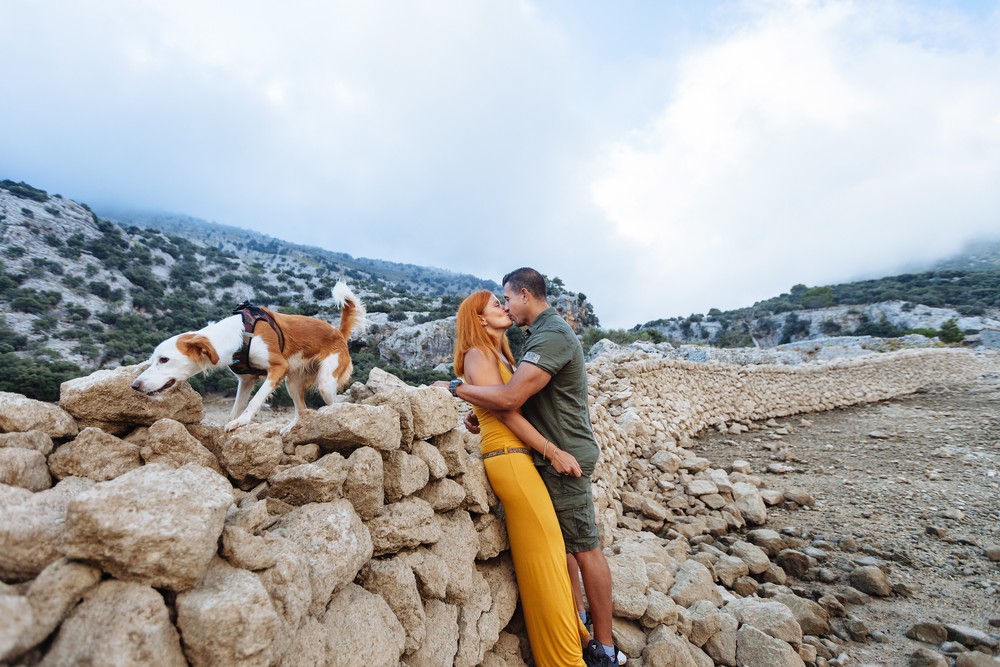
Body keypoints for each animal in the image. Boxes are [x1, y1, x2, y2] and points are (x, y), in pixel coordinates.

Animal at [131, 282, 366, 434]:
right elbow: (235, 408)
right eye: (153, 359)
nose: (135, 385)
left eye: (164, 359)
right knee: (302, 409)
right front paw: (231, 423)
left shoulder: (278, 367)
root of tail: (339, 333)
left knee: (332, 404)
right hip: (293, 381)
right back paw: (291, 428)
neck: (238, 334)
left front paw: (241, 422)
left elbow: (255, 401)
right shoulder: (246, 380)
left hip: (325, 382)